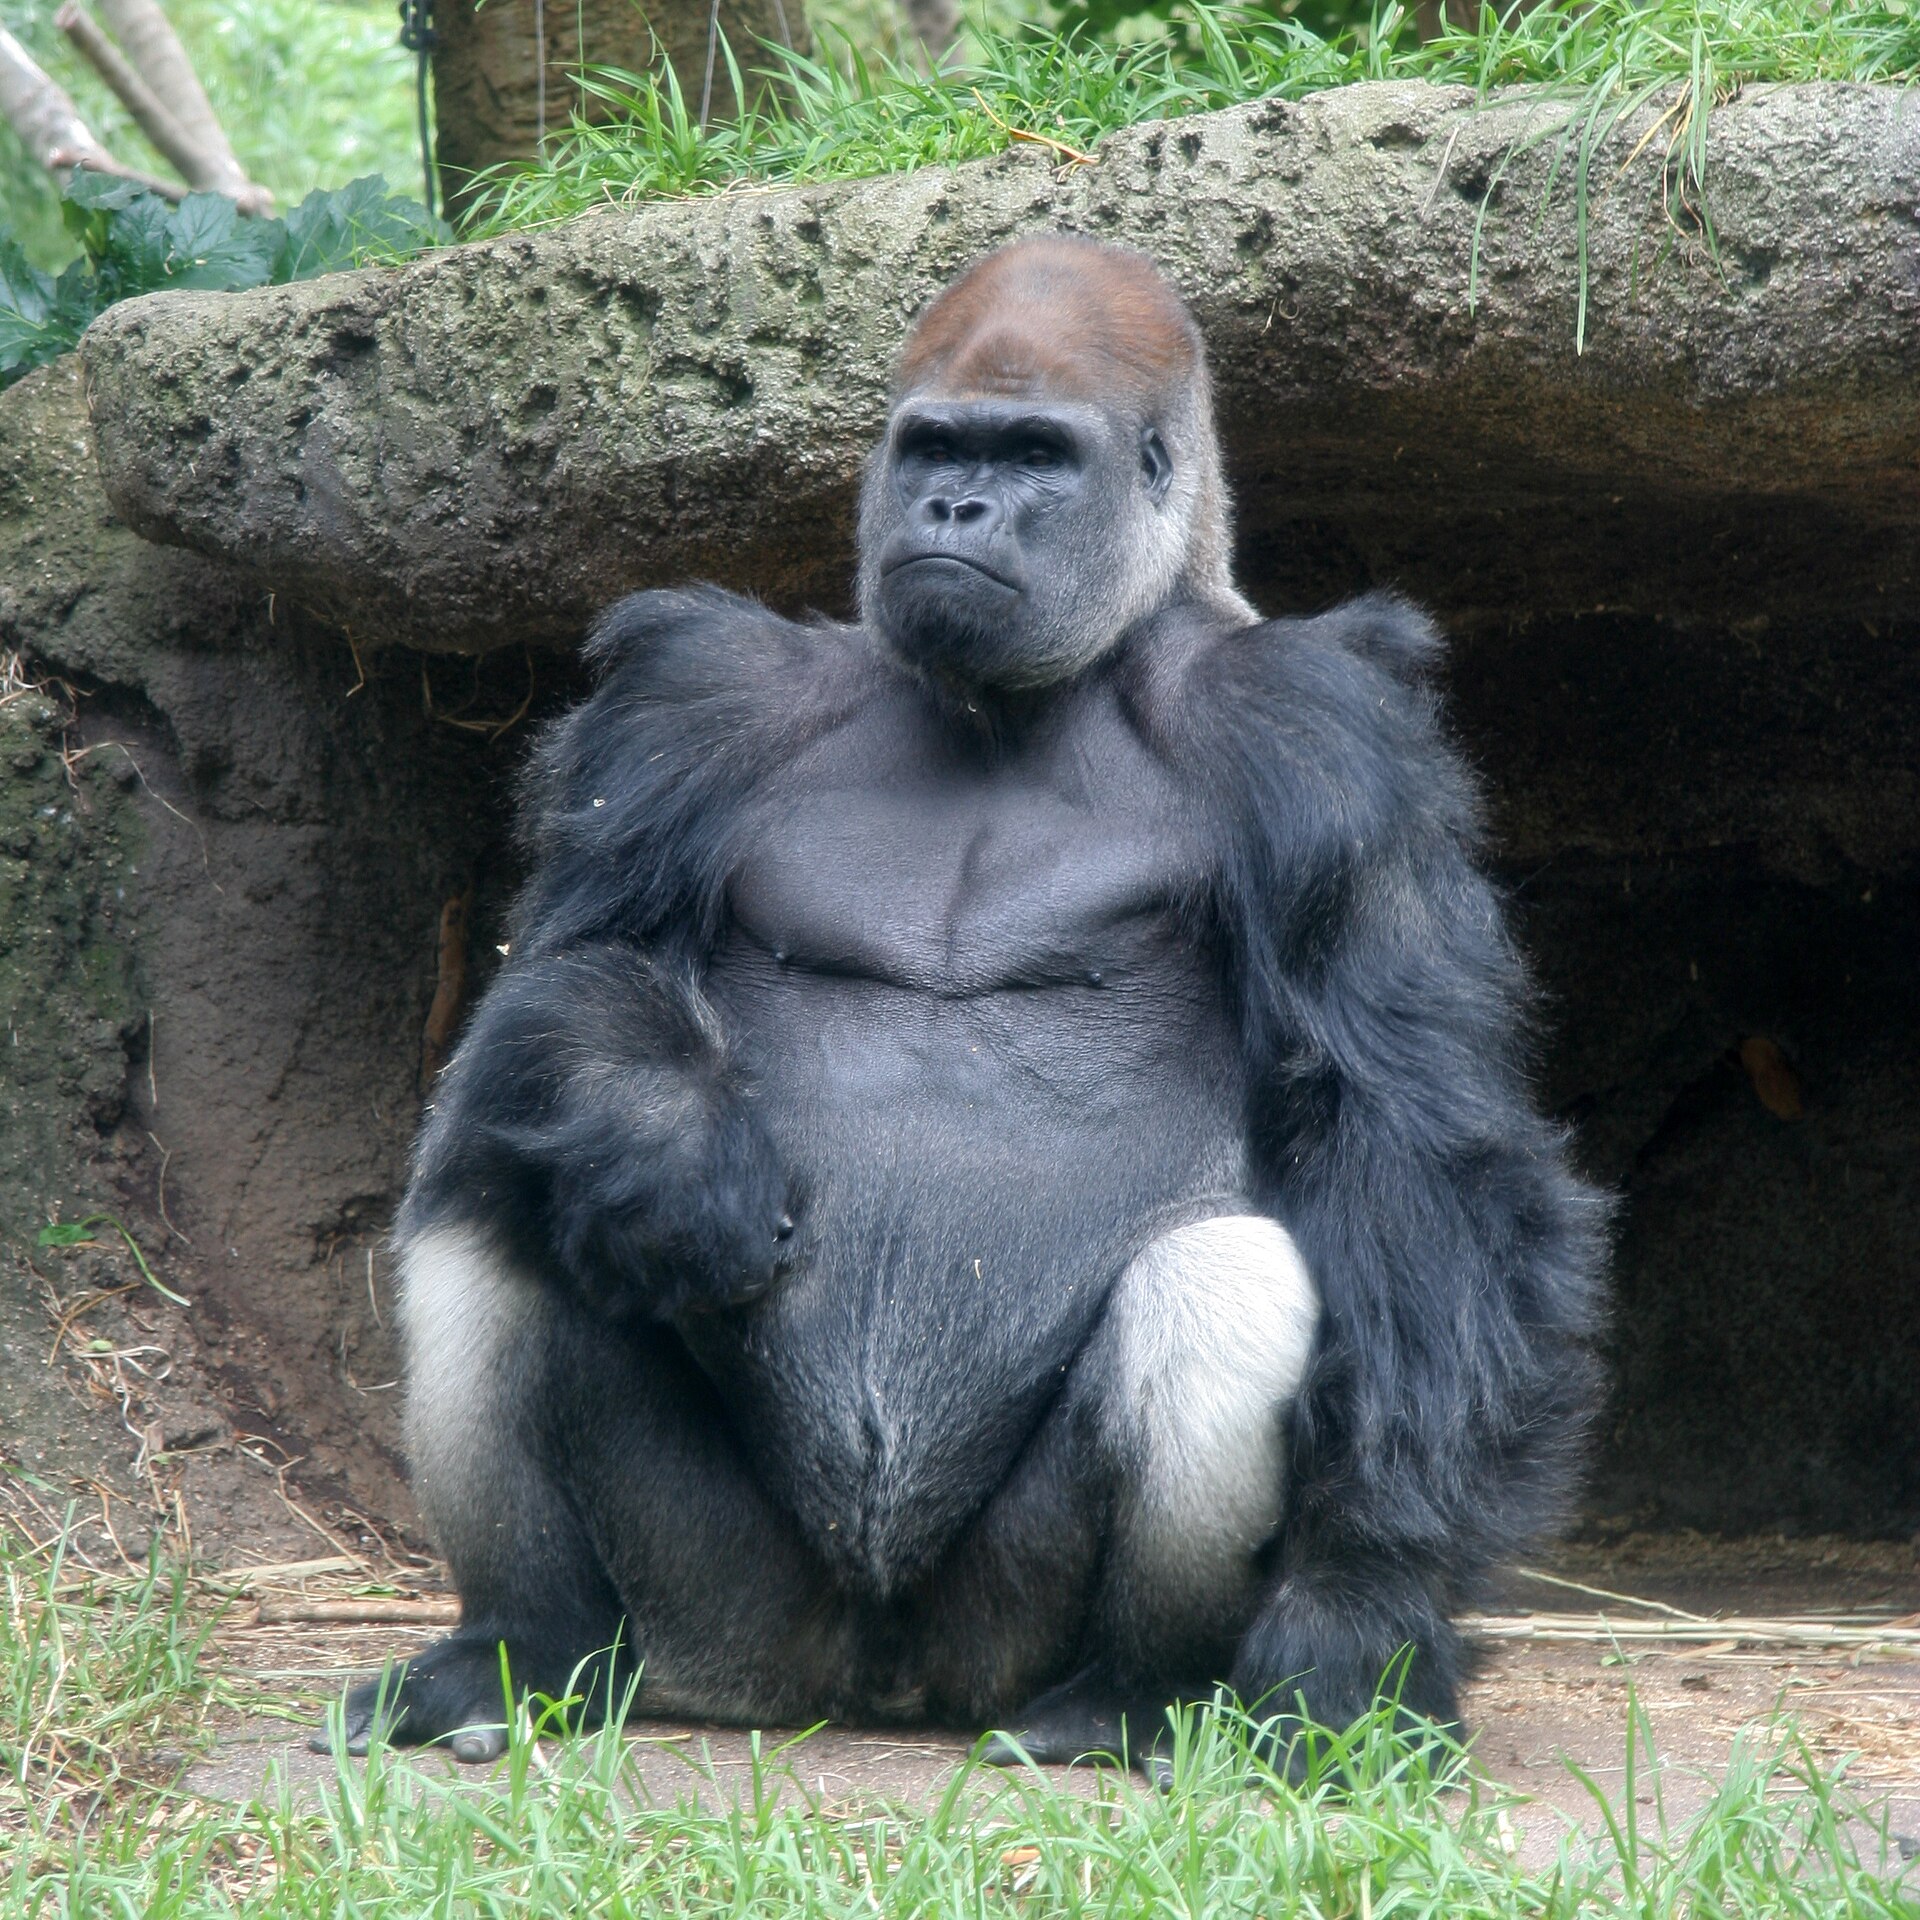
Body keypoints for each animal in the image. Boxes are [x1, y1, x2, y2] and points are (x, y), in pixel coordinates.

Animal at [320, 234, 1605, 1771]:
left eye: (1036, 456)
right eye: (936, 445)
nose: (955, 506)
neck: (1019, 693)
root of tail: (877, 1683)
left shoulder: (1323, 730)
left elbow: (1405, 1139)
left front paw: (1362, 1608)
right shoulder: (702, 695)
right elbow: (572, 968)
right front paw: (665, 1136)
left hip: (992, 1633)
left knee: (1221, 1281)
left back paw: (1130, 1692)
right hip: (727, 1621)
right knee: (497, 1178)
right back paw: (526, 1645)